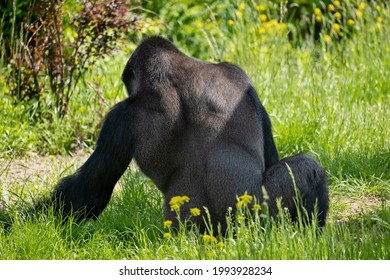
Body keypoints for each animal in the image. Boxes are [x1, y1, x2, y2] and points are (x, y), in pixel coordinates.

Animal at [51, 35, 326, 232]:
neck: (173, 74)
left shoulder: (118, 117)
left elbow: (92, 189)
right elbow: (91, 190)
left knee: (307, 167)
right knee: (308, 167)